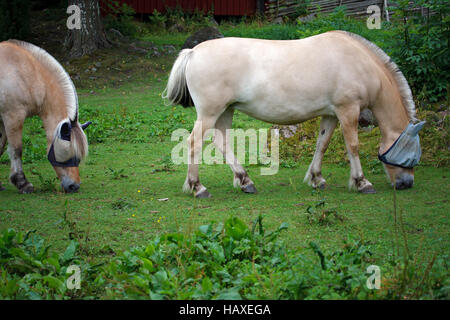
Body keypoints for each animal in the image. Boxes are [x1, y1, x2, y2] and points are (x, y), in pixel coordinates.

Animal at [0, 39, 91, 192]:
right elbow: (16, 149)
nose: (74, 186)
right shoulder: (13, 116)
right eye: (71, 155)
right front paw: (22, 183)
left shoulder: (2, 119)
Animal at [163, 31, 424, 198]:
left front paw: (317, 178)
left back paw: (245, 181)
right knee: (194, 143)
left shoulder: (331, 114)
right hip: (209, 113)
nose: (407, 184)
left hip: (225, 111)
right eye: (412, 157)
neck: (357, 62)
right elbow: (353, 146)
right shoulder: (348, 109)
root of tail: (193, 52)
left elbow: (322, 144)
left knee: (222, 142)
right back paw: (198, 187)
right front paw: (361, 182)